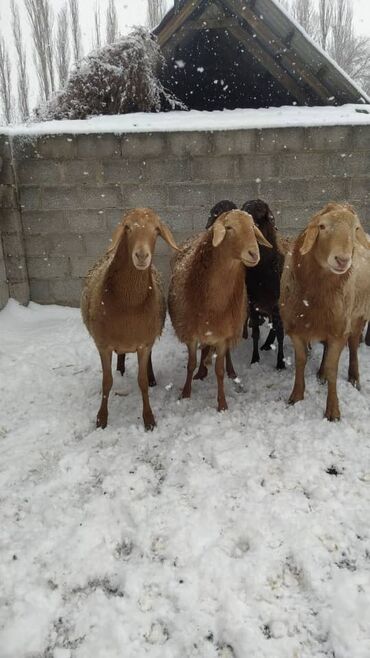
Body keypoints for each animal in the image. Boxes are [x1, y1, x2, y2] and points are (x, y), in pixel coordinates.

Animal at [81, 206, 179, 430]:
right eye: (127, 228)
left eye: (156, 230)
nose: (142, 255)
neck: (128, 303)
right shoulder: (103, 344)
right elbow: (107, 382)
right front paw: (101, 419)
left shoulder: (143, 343)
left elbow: (141, 382)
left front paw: (149, 419)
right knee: (120, 358)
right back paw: (120, 368)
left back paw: (151, 377)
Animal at [168, 208, 272, 408]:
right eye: (229, 228)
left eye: (252, 227)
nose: (254, 253)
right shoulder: (191, 332)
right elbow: (191, 364)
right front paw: (186, 393)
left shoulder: (224, 334)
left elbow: (219, 371)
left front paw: (222, 403)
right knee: (204, 351)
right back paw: (201, 371)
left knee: (225, 356)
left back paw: (230, 371)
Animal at [280, 201, 370, 420]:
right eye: (322, 226)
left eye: (355, 229)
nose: (342, 260)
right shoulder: (296, 328)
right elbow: (301, 361)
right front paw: (296, 396)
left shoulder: (339, 330)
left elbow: (332, 368)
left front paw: (333, 411)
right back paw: (320, 373)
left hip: (356, 316)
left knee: (353, 345)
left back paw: (354, 377)